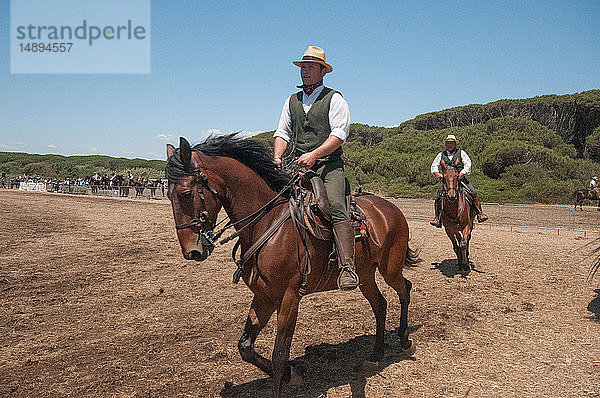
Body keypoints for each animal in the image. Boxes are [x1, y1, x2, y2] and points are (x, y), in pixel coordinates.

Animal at [163, 135, 418, 396]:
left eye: (185, 193)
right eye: (169, 194)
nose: (192, 251)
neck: (268, 222)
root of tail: (391, 209)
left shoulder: (289, 298)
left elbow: (279, 355)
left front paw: (286, 375)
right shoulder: (264, 296)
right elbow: (245, 346)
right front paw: (292, 374)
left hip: (390, 269)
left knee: (405, 289)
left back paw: (405, 341)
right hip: (365, 276)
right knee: (380, 305)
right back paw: (376, 355)